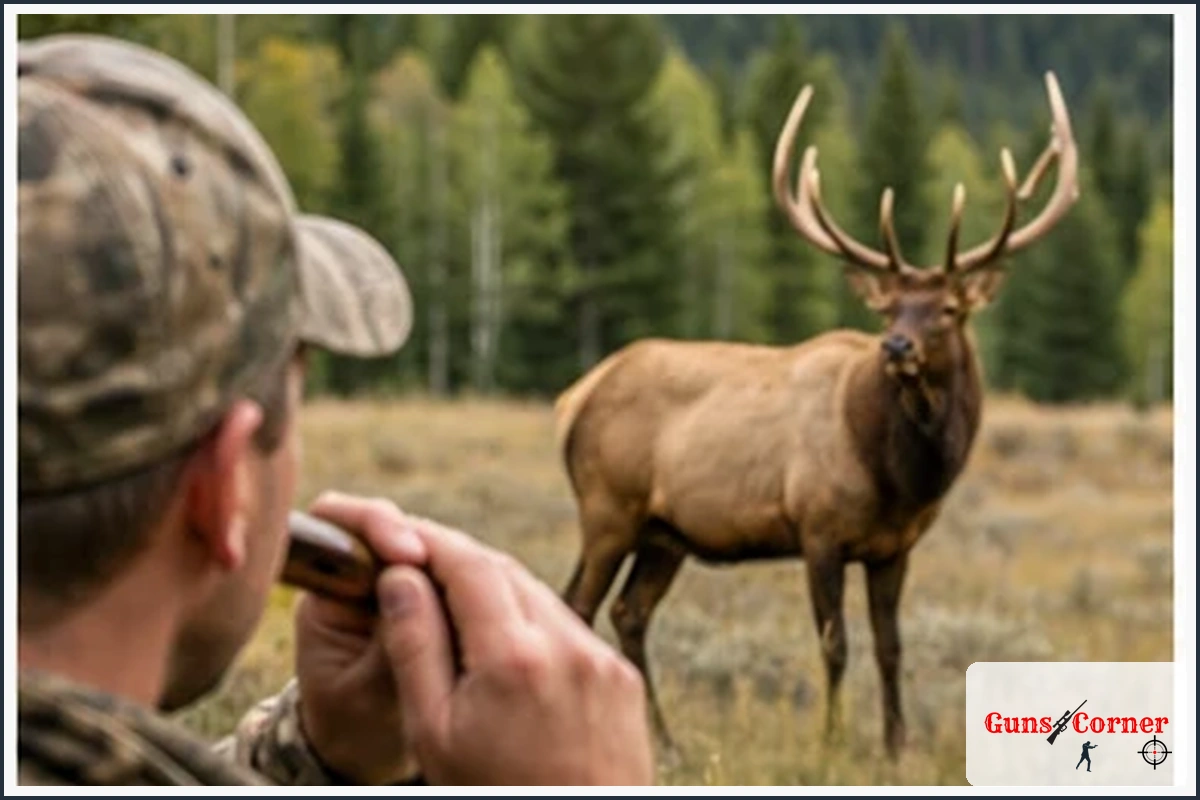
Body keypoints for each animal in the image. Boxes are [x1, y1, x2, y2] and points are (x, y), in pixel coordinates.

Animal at [553, 71, 1079, 758]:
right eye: (889, 310)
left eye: (947, 310)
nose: (896, 347)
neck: (899, 477)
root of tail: (574, 398)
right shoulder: (818, 529)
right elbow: (836, 646)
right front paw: (832, 745)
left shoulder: (894, 547)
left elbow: (890, 647)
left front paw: (896, 747)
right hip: (608, 508)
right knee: (574, 605)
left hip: (665, 533)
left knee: (628, 613)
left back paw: (666, 742)